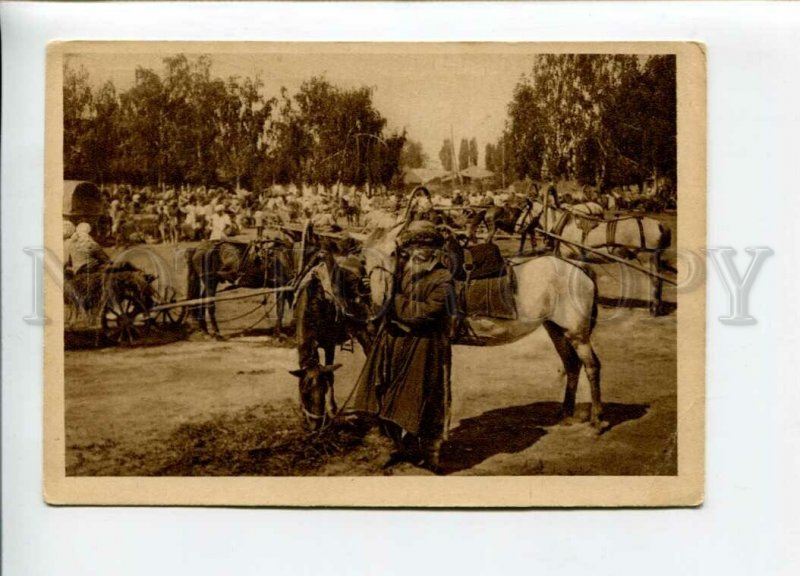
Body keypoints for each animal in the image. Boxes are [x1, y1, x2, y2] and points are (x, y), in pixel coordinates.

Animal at [360, 222, 604, 432]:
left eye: (394, 253)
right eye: (364, 258)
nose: (380, 299)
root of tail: (578, 268)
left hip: (577, 333)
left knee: (592, 367)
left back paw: (596, 421)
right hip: (556, 329)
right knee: (572, 365)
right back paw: (565, 414)